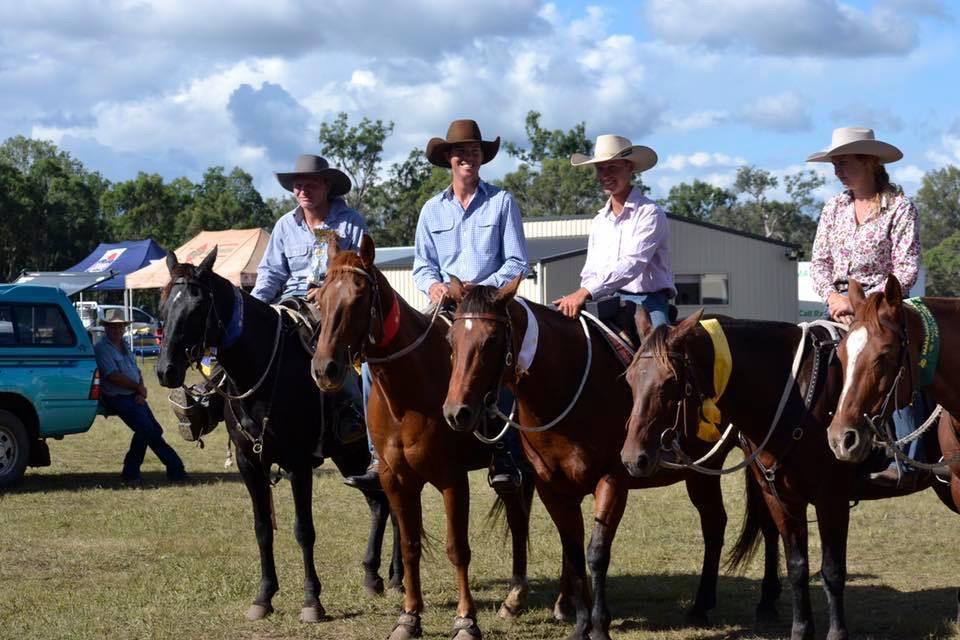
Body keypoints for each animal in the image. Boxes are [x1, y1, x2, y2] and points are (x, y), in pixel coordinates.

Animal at [155, 247, 401, 624]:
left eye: (196, 306)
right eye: (163, 306)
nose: (165, 370)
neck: (262, 372)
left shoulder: (298, 464)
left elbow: (304, 531)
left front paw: (312, 601)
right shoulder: (250, 463)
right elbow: (261, 530)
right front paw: (264, 597)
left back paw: (399, 578)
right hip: (351, 457)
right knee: (379, 504)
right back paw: (373, 575)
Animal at [310, 236, 537, 640]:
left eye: (358, 297)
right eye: (320, 298)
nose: (325, 369)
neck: (410, 391)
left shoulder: (451, 478)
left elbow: (457, 548)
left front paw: (465, 621)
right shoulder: (396, 479)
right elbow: (411, 544)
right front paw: (409, 617)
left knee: (518, 514)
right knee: (516, 513)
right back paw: (513, 599)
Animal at [442, 278, 783, 640]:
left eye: (492, 339)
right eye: (451, 339)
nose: (456, 412)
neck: (567, 384)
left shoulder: (613, 480)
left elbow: (597, 553)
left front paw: (600, 625)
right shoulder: (553, 488)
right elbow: (574, 551)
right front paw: (580, 624)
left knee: (767, 523)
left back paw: (766, 602)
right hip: (702, 471)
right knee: (715, 523)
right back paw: (701, 606)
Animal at [619, 308, 949, 640]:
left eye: (670, 381)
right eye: (630, 379)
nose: (634, 458)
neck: (797, 396)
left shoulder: (832, 499)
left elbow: (832, 569)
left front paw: (836, 632)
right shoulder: (780, 496)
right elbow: (797, 566)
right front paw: (801, 629)